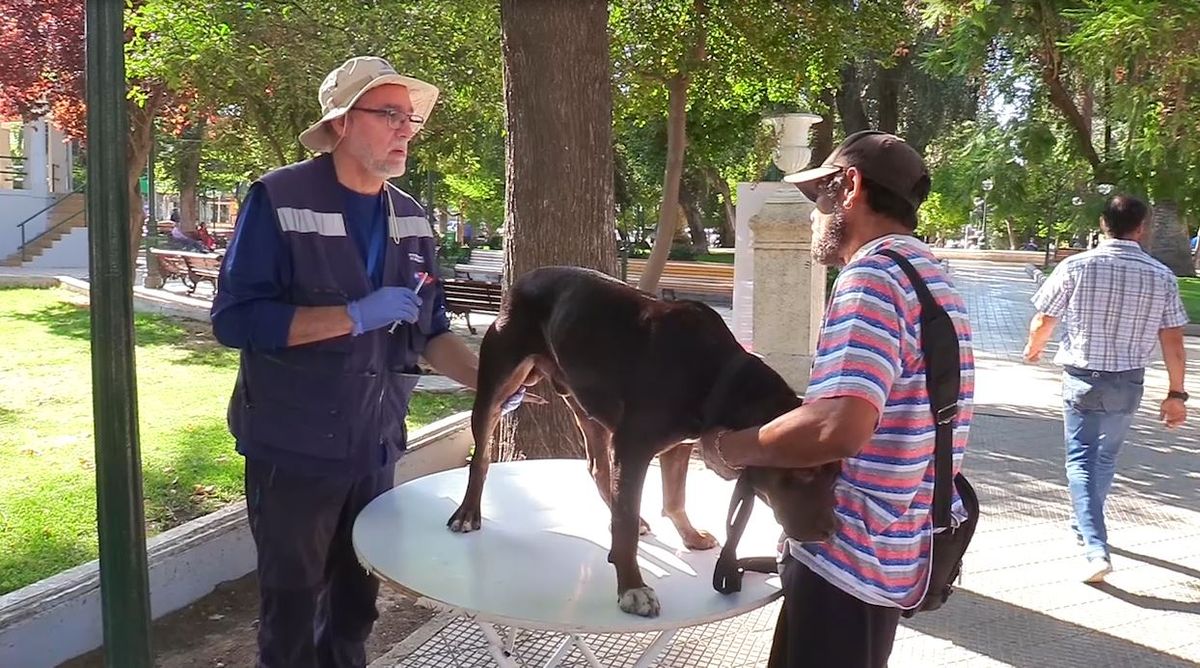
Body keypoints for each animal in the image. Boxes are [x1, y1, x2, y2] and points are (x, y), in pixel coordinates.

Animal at [447, 266, 839, 617]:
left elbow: (675, 497)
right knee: (481, 457)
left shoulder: (679, 444)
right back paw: (468, 512)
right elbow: (626, 523)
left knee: (597, 468)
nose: (830, 531)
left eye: (835, 475)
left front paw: (690, 535)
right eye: (805, 471)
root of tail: (523, 280)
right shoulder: (633, 448)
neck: (716, 376)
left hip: (589, 407)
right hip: (498, 385)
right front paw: (632, 587)